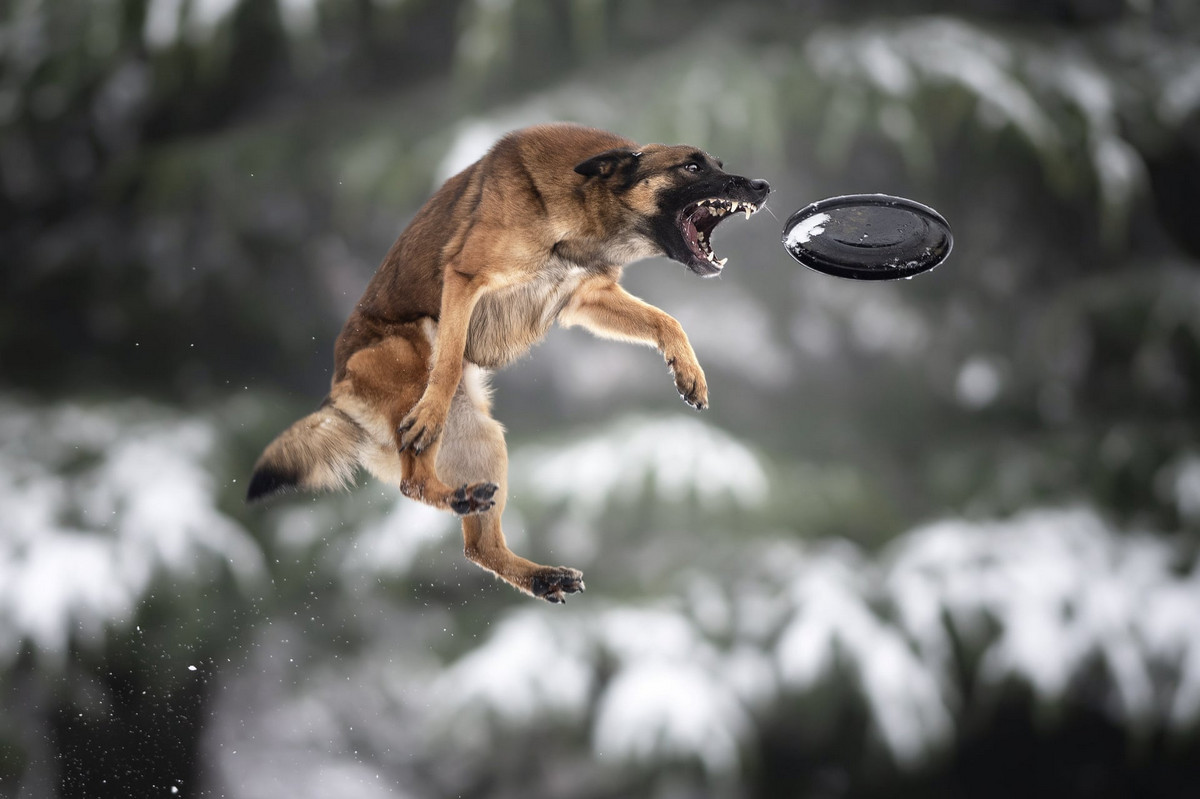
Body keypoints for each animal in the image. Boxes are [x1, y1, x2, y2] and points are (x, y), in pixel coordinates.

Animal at [248, 122, 772, 597]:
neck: (584, 205)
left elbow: (668, 321)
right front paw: (430, 410)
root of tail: (337, 397)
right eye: (692, 167)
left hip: (486, 440)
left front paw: (689, 374)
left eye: (719, 165)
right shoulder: (464, 278)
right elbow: (449, 360)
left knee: (478, 546)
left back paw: (538, 573)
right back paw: (454, 488)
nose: (763, 186)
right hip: (408, 351)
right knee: (413, 481)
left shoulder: (586, 297)